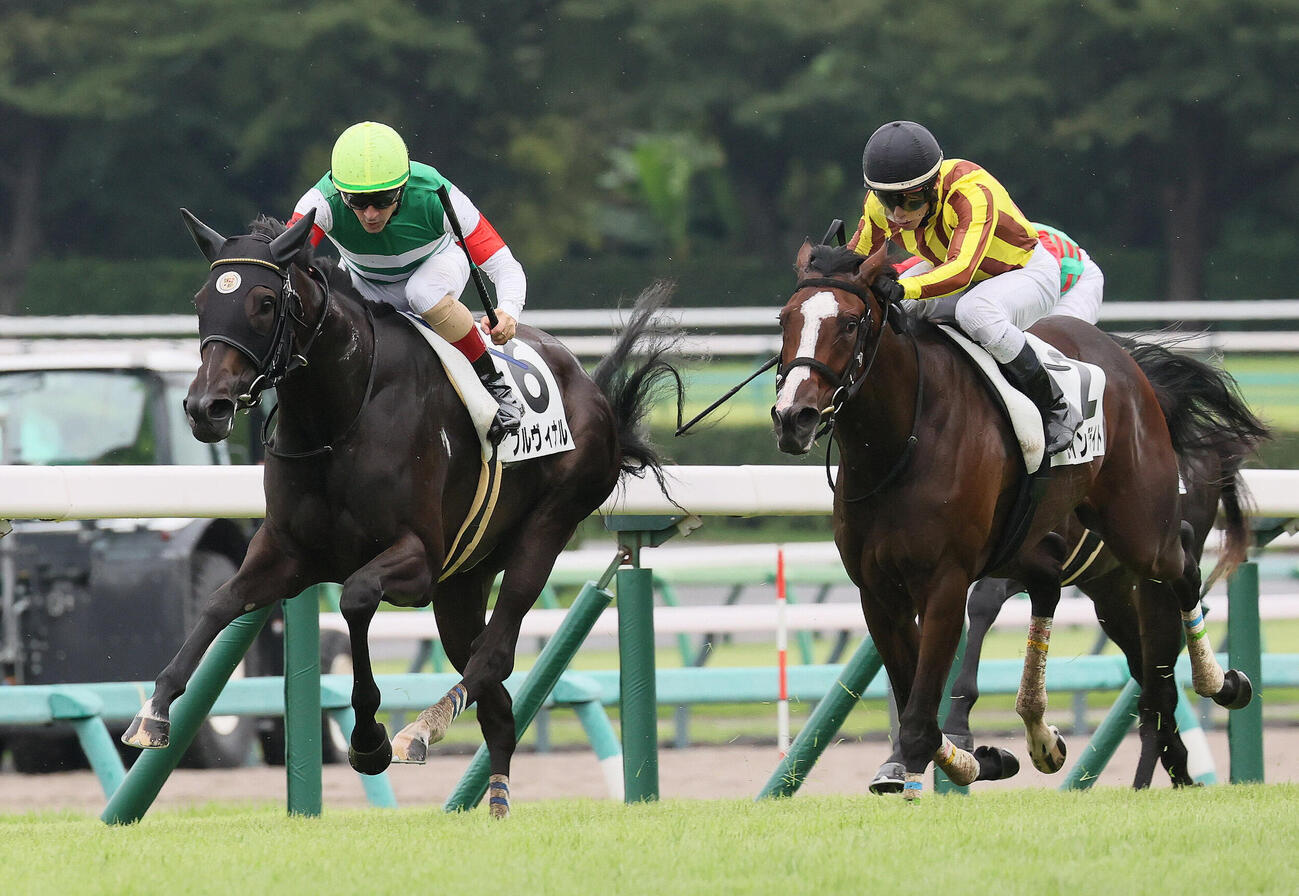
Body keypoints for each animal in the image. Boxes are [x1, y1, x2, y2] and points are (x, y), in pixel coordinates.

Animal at [123, 210, 682, 817]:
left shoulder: (417, 560)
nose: (206, 407)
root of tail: (588, 383)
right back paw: (496, 800)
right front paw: (154, 710)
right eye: (202, 300)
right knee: (497, 699)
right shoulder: (287, 552)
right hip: (462, 580)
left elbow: (355, 597)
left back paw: (422, 728)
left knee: (495, 653)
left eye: (265, 301)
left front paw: (369, 739)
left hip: (547, 526)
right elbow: (219, 603)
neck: (340, 414)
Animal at [938, 346, 1268, 788]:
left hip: (1153, 580)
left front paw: (961, 727)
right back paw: (1176, 770)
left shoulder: (1039, 553)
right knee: (1153, 685)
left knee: (1158, 684)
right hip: (1112, 597)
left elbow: (984, 602)